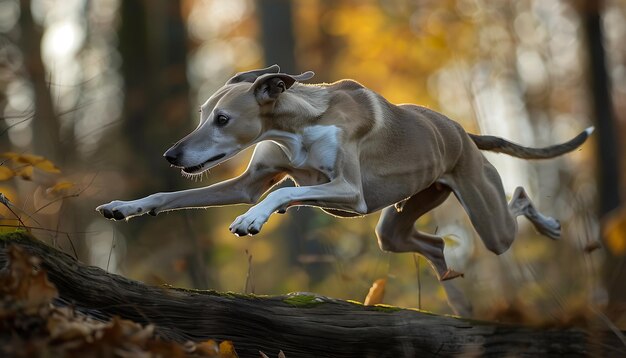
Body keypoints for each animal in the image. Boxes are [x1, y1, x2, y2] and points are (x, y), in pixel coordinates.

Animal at [96, 64, 588, 286]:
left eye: (222, 119)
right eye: (202, 114)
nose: (171, 155)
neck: (296, 124)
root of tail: (463, 134)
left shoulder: (349, 192)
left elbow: (280, 195)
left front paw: (252, 220)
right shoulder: (249, 183)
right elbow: (168, 197)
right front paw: (124, 206)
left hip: (490, 222)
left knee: (518, 199)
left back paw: (549, 223)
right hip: (397, 223)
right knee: (432, 244)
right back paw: (449, 283)